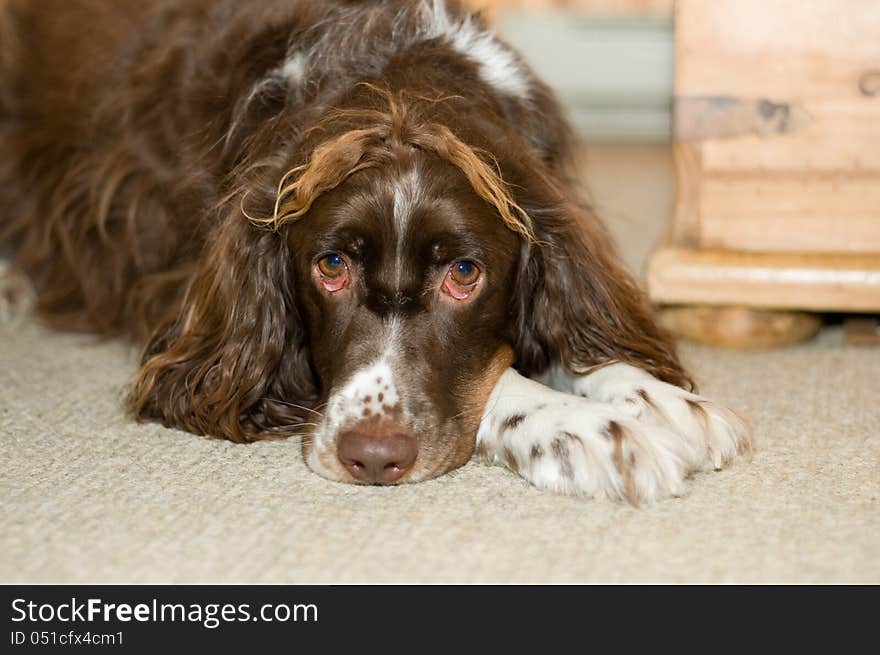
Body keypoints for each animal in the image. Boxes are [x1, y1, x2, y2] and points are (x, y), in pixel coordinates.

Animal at [1, 0, 756, 504]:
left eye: (464, 273)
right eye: (330, 266)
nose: (372, 457)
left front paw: (654, 396)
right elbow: (497, 379)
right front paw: (584, 427)